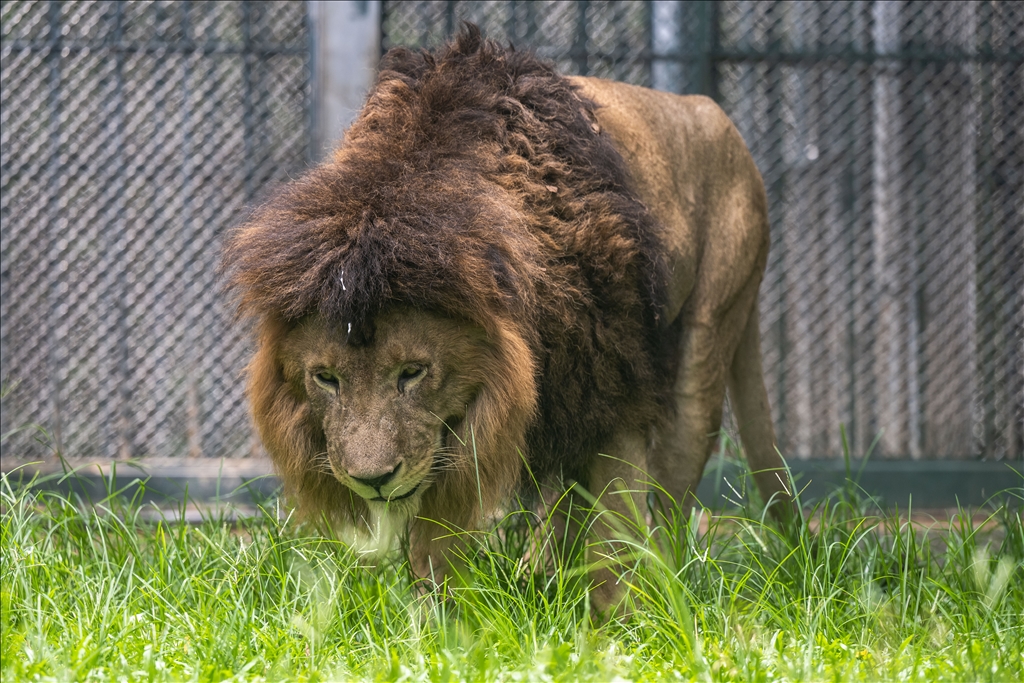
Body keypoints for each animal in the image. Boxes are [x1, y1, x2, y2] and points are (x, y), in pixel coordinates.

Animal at [228, 26, 794, 610]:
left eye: (413, 372)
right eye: (325, 378)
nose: (374, 479)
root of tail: (706, 106)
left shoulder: (613, 390)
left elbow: (616, 531)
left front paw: (622, 622)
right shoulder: (451, 443)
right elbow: (436, 551)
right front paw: (443, 622)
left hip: (711, 328)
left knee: (670, 492)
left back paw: (662, 585)